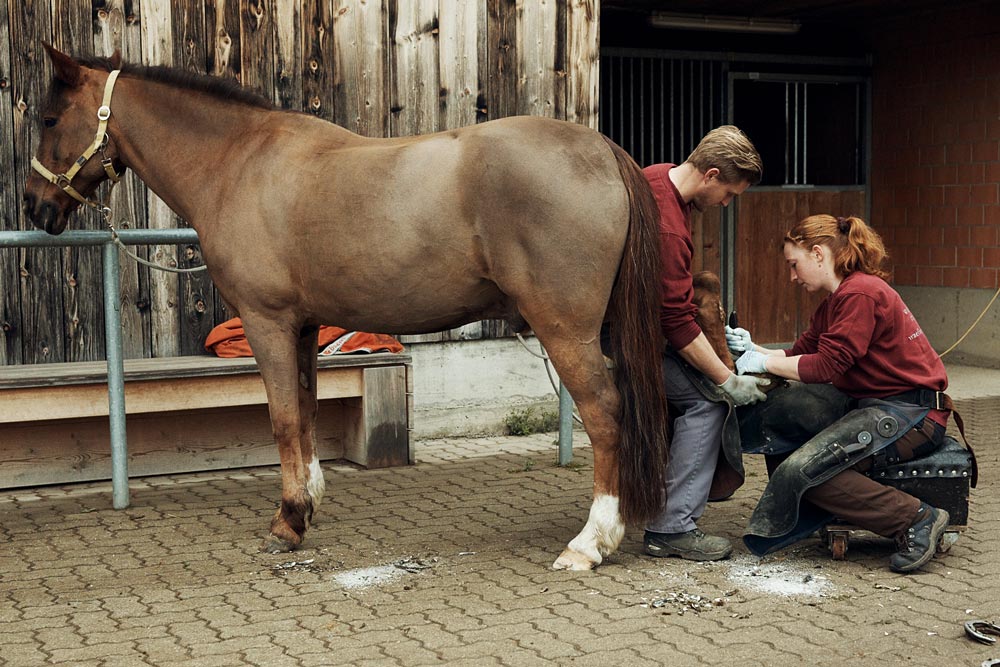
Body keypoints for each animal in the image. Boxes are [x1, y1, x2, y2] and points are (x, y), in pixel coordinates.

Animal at [23, 44, 668, 572]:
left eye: (49, 119)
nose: (35, 207)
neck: (239, 161)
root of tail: (601, 149)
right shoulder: (305, 325)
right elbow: (306, 411)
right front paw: (306, 503)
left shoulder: (266, 322)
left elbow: (283, 418)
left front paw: (288, 522)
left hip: (567, 330)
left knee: (605, 414)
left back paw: (589, 543)